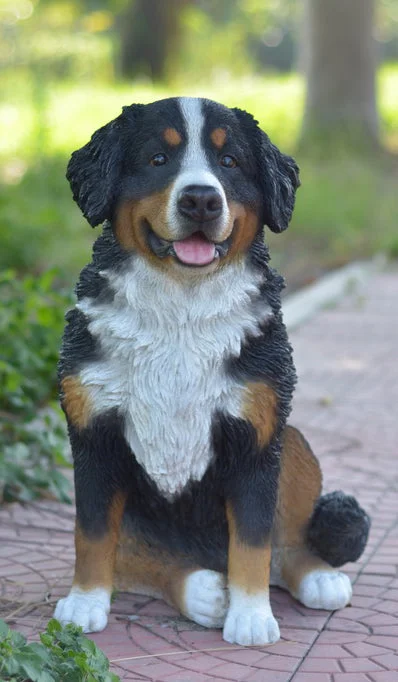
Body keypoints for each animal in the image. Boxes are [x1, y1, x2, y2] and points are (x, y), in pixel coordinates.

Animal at [53, 95, 370, 644]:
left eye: (230, 162)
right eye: (158, 159)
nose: (201, 199)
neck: (181, 308)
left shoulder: (256, 436)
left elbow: (253, 539)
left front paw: (251, 617)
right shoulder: (94, 434)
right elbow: (91, 537)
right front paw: (85, 603)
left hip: (294, 441)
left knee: (285, 544)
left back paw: (317, 577)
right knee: (140, 559)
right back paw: (201, 590)